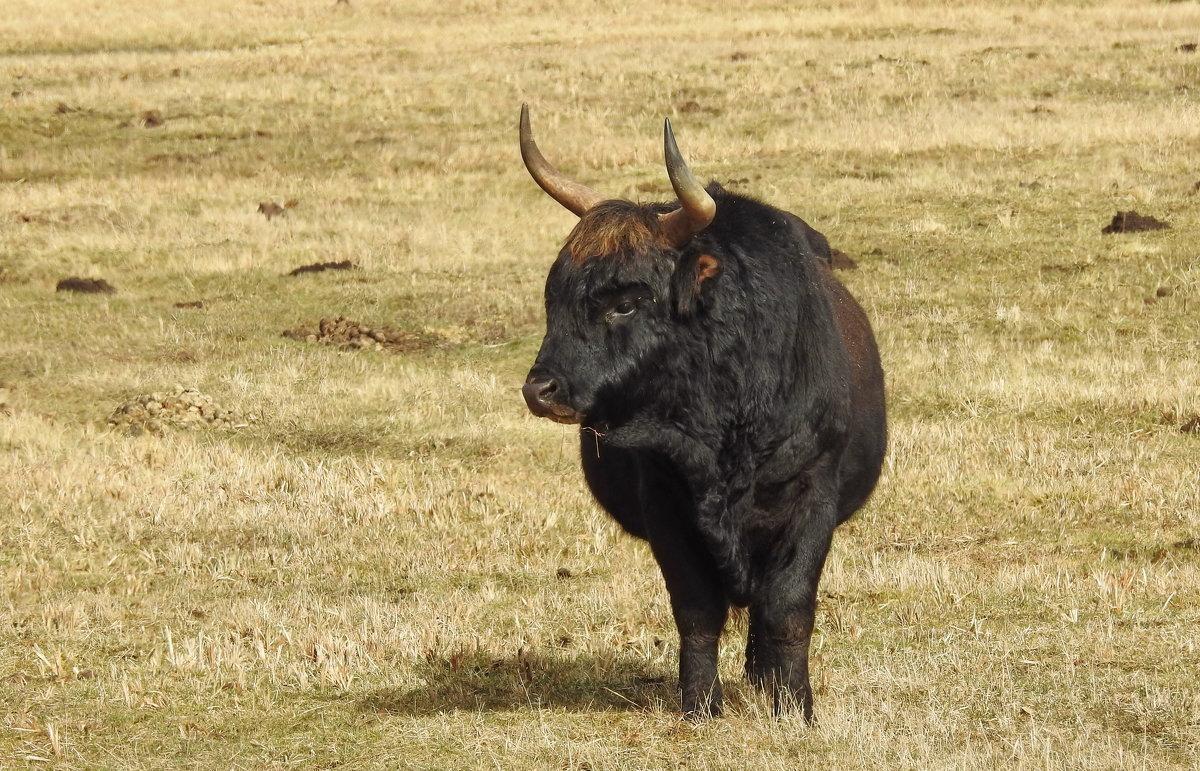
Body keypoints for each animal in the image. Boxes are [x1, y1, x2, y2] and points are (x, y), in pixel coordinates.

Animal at [520, 105, 888, 715]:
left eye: (627, 301)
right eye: (555, 295)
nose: (540, 390)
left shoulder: (813, 496)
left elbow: (788, 607)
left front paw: (794, 705)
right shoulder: (666, 507)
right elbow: (696, 610)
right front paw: (700, 705)